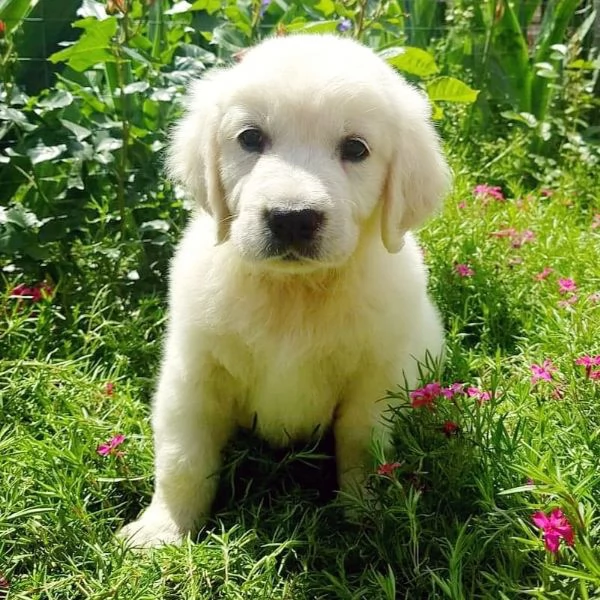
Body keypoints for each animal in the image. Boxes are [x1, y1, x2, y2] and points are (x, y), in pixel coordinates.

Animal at [120, 32, 450, 548]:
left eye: (355, 149)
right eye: (250, 138)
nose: (292, 219)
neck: (292, 292)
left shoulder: (373, 380)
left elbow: (362, 446)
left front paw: (365, 518)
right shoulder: (193, 375)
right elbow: (183, 460)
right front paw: (164, 529)